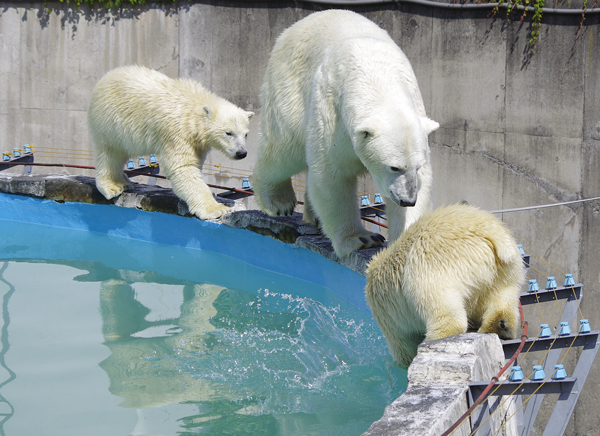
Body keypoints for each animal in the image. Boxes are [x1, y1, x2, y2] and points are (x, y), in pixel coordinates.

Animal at [88, 65, 253, 220]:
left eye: (245, 134)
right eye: (228, 133)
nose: (241, 153)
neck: (193, 107)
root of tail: (105, 77)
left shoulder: (197, 142)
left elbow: (195, 164)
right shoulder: (177, 133)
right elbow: (183, 167)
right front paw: (216, 209)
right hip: (110, 121)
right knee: (110, 153)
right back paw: (113, 185)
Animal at [254, 10, 440, 258]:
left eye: (417, 167)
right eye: (394, 167)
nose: (408, 200)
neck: (376, 76)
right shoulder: (332, 116)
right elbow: (332, 176)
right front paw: (361, 239)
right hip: (289, 87)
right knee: (283, 148)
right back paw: (278, 201)